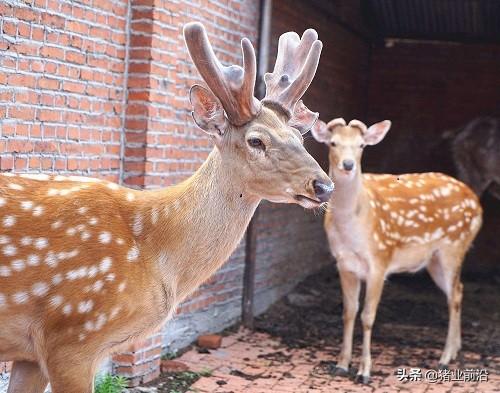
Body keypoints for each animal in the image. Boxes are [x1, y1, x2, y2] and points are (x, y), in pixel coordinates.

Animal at [0, 23, 336, 390]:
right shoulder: (71, 335)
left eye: (300, 138)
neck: (156, 257)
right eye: (256, 140)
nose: (324, 185)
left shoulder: (31, 354)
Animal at [310, 118, 482, 382]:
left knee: (454, 294)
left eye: (361, 145)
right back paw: (454, 351)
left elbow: (368, 316)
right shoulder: (344, 263)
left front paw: (364, 371)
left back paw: (444, 359)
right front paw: (341, 364)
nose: (348, 165)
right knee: (458, 291)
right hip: (434, 260)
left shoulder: (380, 259)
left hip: (455, 245)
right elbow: (349, 312)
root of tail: (477, 204)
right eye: (333, 143)